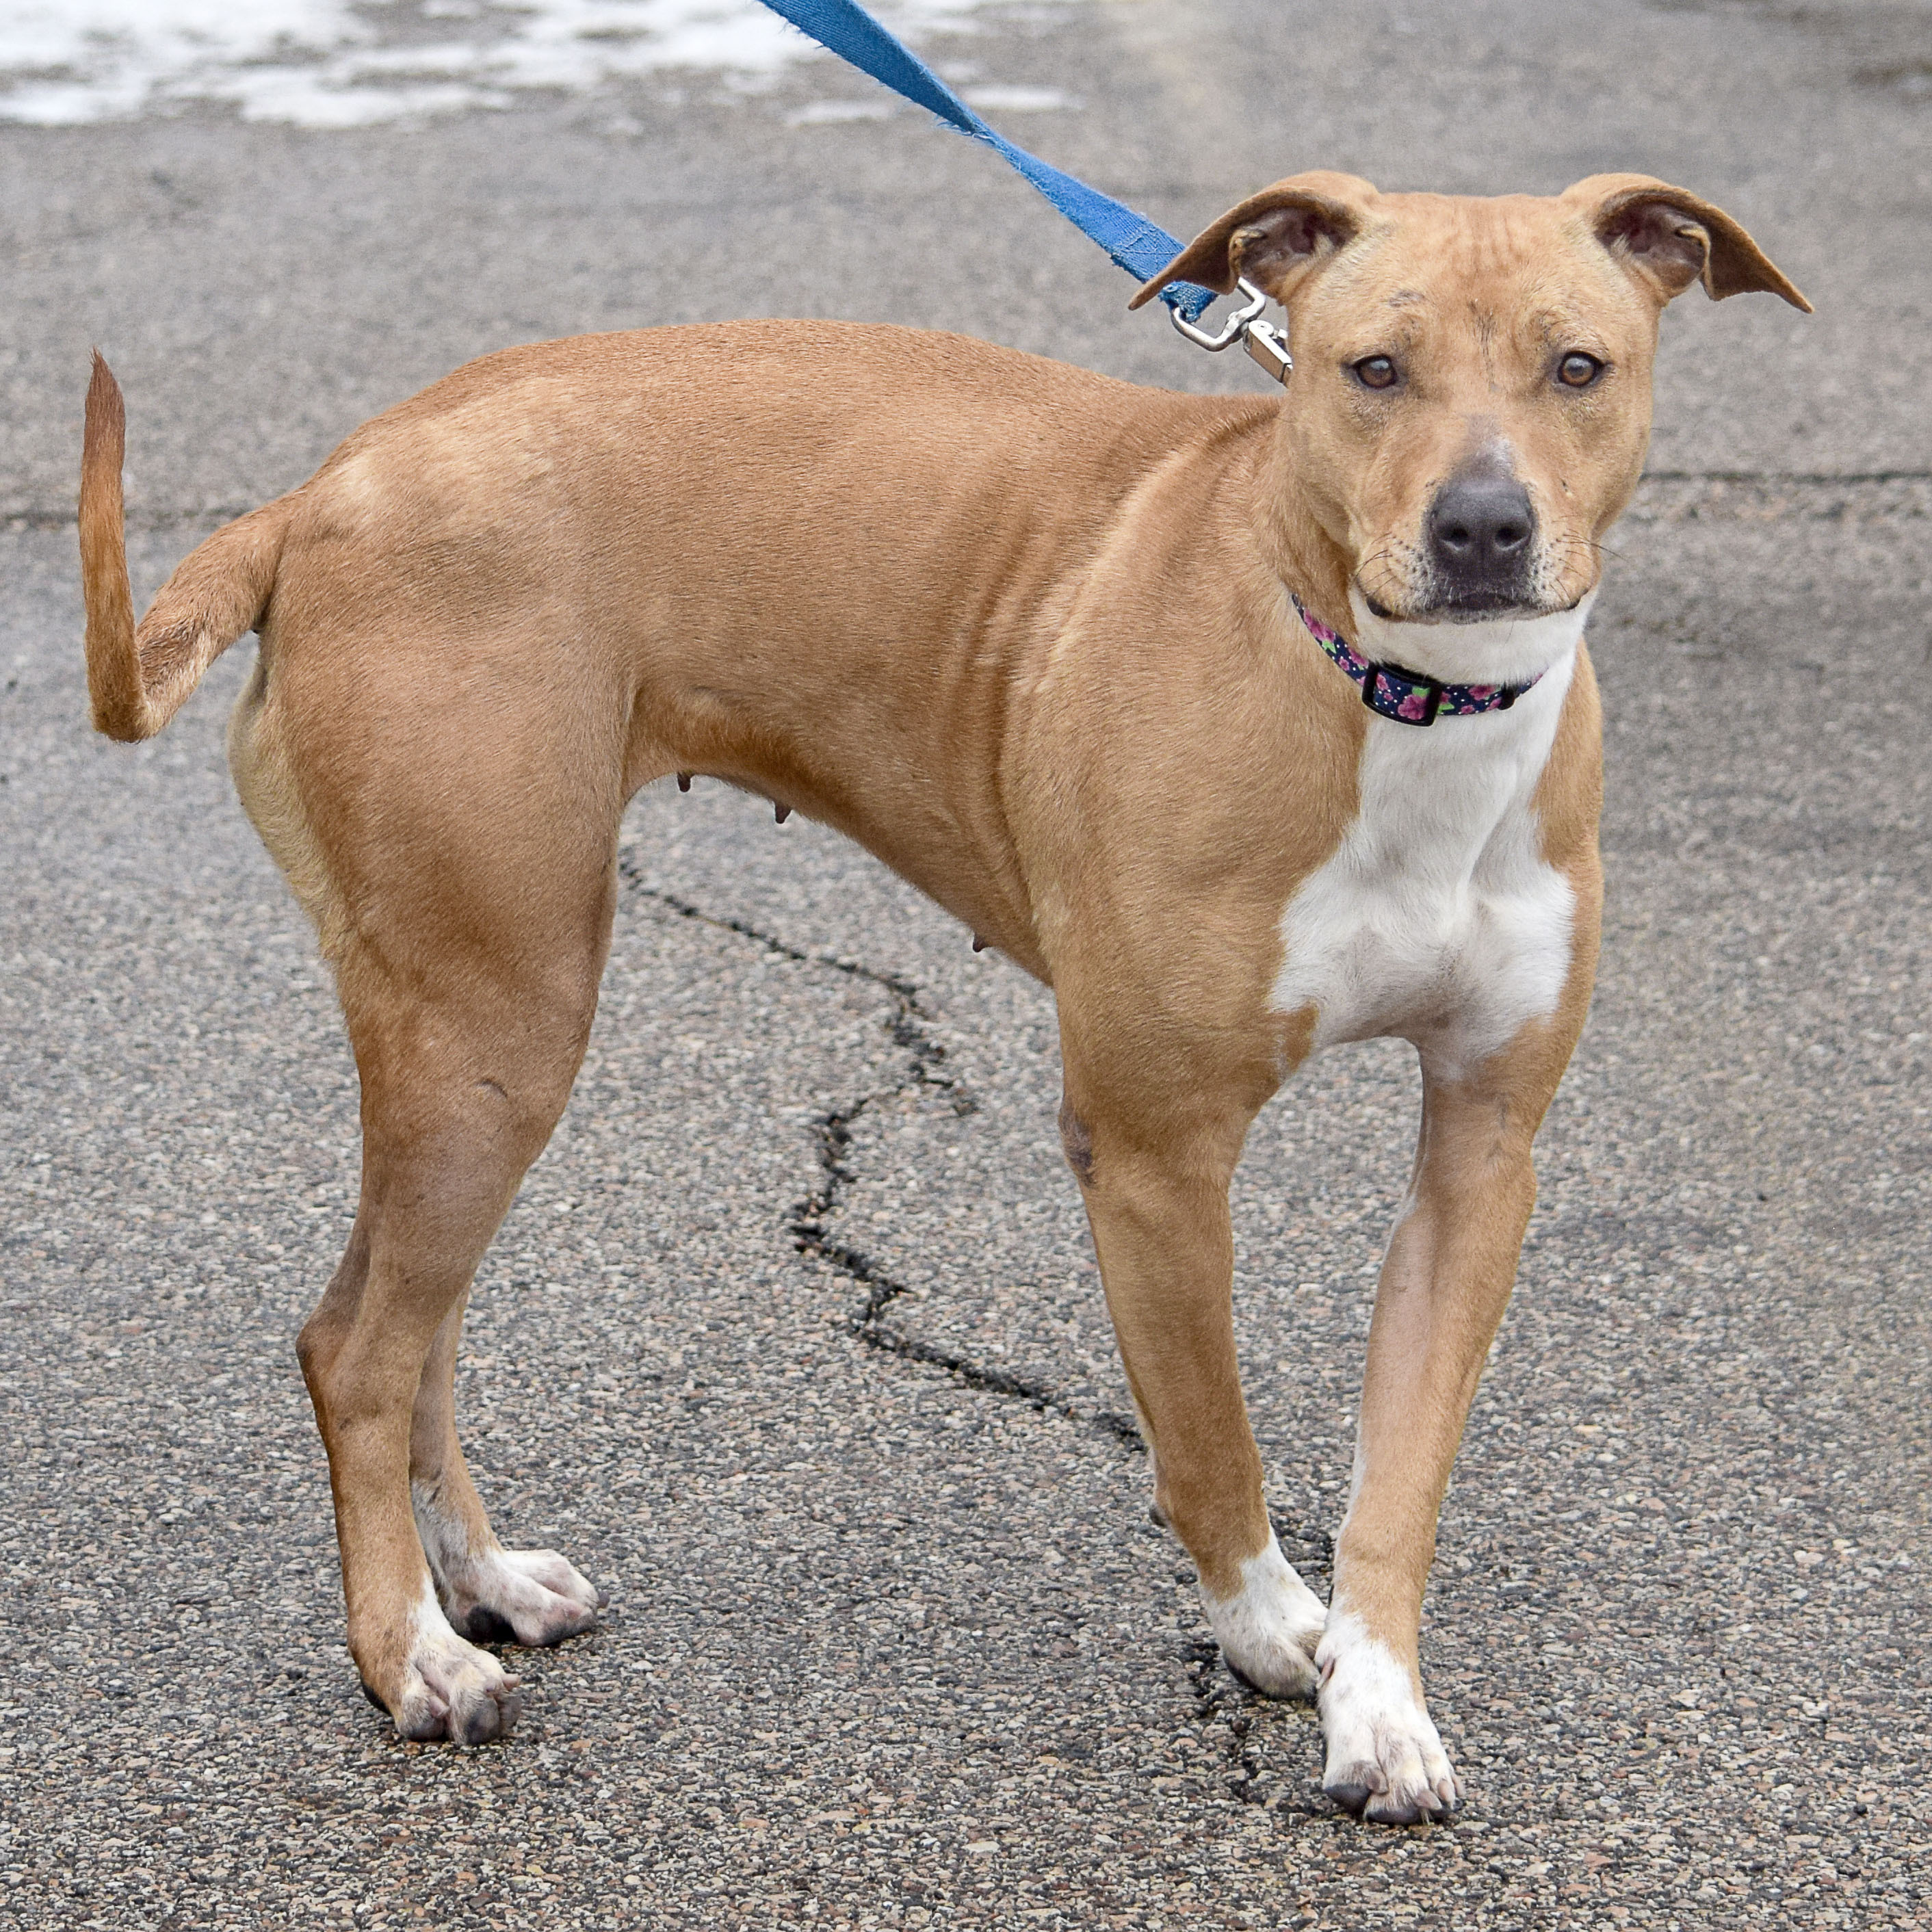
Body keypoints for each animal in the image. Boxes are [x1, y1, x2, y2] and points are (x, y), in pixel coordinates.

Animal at [83, 174, 1808, 1816]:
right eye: (1369, 369)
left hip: (465, 1038)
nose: (1480, 528)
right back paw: (411, 1657)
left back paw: (482, 1585)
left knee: (405, 1324)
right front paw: (1268, 1630)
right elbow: (1209, 1440)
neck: (1392, 699)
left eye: (1577, 367)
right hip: (500, 1020)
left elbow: (1402, 1476)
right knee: (359, 1348)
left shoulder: (1481, 1155)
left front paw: (1378, 1704)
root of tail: (323, 491)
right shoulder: (1153, 1153)